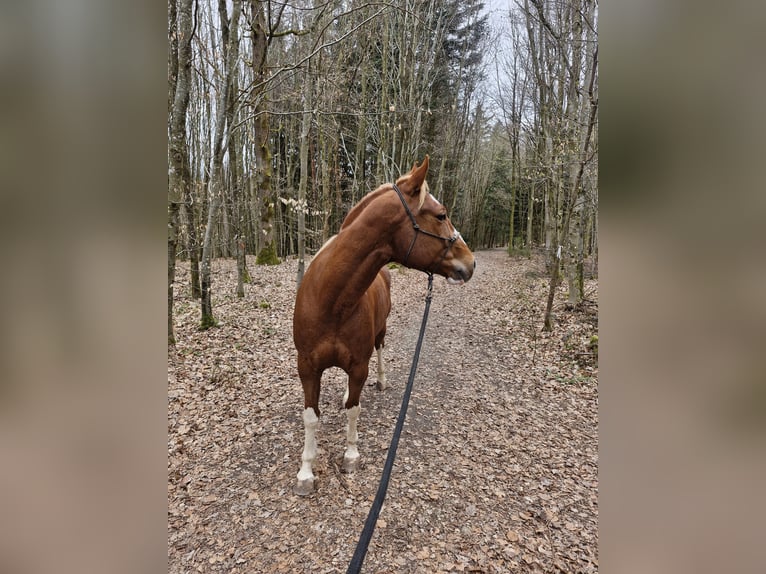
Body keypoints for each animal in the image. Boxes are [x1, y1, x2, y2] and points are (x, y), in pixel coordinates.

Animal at [292, 156, 475, 496]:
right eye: (441, 215)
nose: (471, 263)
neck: (332, 302)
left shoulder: (358, 365)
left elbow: (354, 408)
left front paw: (351, 454)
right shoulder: (307, 368)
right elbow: (311, 417)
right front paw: (306, 472)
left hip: (380, 335)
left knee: (378, 352)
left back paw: (380, 380)